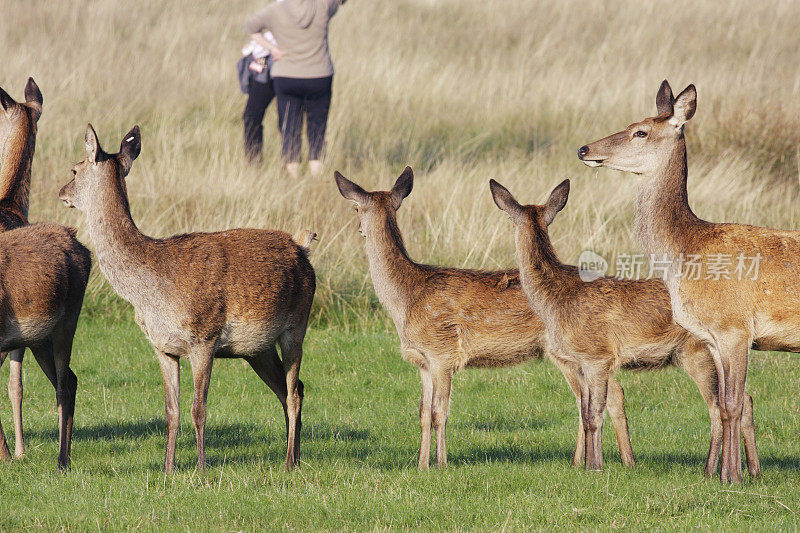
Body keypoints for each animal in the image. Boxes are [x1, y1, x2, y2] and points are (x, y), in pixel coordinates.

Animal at [58, 123, 316, 470]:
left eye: (75, 169)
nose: (62, 192)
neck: (151, 293)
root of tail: (302, 246)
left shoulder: (204, 338)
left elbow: (199, 409)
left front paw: (201, 467)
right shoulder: (163, 346)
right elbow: (172, 411)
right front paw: (168, 469)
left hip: (296, 325)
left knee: (293, 392)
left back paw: (289, 462)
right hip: (257, 349)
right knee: (291, 388)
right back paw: (296, 458)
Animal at [334, 166, 652, 470]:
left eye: (355, 209)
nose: (359, 229)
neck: (406, 297)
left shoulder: (442, 352)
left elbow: (440, 412)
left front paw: (440, 464)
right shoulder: (422, 360)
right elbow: (423, 413)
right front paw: (421, 464)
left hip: (577, 349)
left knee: (611, 393)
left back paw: (622, 460)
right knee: (590, 396)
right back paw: (592, 461)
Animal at [490, 179, 760, 474]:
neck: (556, 298)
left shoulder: (596, 355)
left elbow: (593, 414)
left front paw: (594, 467)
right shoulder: (579, 361)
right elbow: (585, 409)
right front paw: (590, 463)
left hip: (698, 352)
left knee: (717, 404)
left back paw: (712, 469)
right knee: (745, 399)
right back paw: (753, 469)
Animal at [580, 80, 800, 482]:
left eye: (640, 131)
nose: (584, 149)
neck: (686, 252)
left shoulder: (735, 327)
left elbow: (732, 402)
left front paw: (733, 477)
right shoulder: (711, 335)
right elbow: (726, 404)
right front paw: (724, 473)